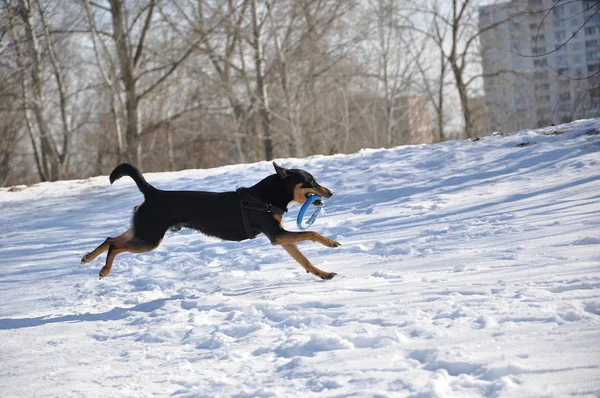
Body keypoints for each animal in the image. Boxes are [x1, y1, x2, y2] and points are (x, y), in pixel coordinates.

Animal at [81, 162, 340, 280]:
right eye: (312, 182)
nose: (331, 192)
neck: (264, 198)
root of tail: (153, 193)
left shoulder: (281, 238)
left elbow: (304, 260)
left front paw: (323, 274)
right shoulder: (277, 236)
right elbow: (312, 234)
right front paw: (330, 242)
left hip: (143, 231)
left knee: (110, 238)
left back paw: (88, 258)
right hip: (149, 239)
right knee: (116, 245)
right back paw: (104, 269)